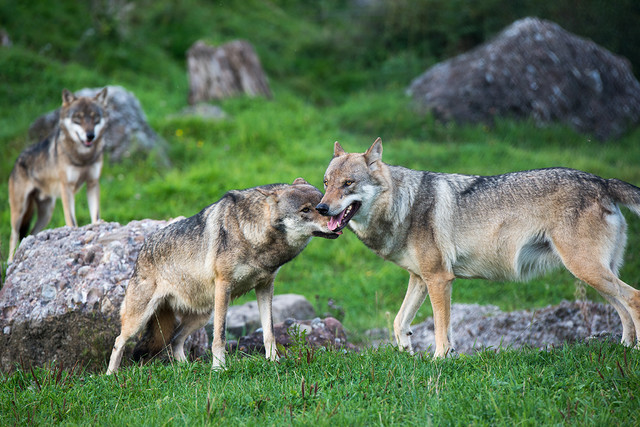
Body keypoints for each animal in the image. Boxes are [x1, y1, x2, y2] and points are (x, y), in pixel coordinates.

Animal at [7, 88, 109, 262]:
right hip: (19, 211)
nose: (90, 135)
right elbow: (72, 220)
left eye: (94, 117)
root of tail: (16, 161)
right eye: (78, 118)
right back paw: (9, 261)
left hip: (47, 212)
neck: (83, 158)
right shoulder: (66, 187)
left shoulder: (93, 183)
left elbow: (95, 215)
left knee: (31, 233)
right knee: (14, 235)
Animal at [106, 178, 340, 374]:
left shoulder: (265, 286)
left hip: (201, 316)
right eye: (306, 210)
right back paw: (111, 376)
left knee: (175, 339)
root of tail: (142, 250)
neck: (255, 237)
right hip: (140, 319)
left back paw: (186, 369)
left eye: (322, 204)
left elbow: (269, 332)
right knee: (118, 341)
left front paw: (274, 362)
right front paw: (219, 369)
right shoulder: (223, 285)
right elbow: (220, 337)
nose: (335, 221)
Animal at [318, 138, 640, 358]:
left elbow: (441, 329)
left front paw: (439, 361)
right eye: (326, 182)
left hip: (587, 271)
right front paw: (407, 354)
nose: (321, 207)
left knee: (633, 298)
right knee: (622, 309)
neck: (403, 205)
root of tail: (602, 181)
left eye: (348, 183)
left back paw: (633, 353)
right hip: (594, 276)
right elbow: (400, 323)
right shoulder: (420, 278)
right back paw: (624, 347)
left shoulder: (439, 279)